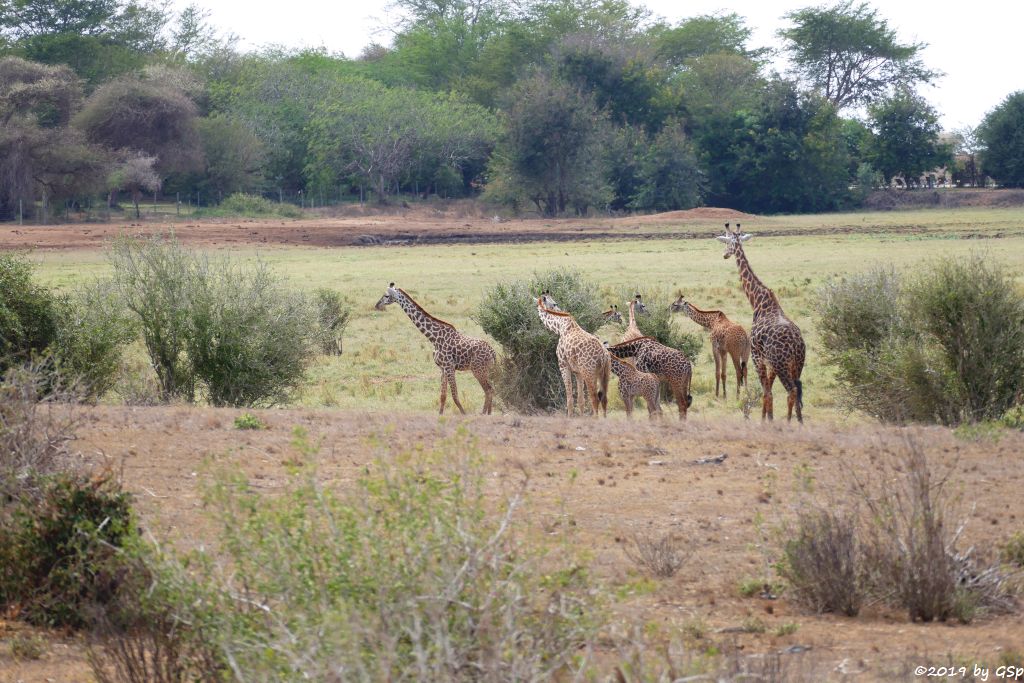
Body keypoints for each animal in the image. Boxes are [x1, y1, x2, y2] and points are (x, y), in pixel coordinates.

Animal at [374, 284, 497, 417]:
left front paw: (464, 414)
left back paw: (484, 414)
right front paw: (440, 415)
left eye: (386, 295)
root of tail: (492, 352)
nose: (377, 305)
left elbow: (454, 395)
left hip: (477, 369)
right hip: (486, 369)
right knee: (491, 389)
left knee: (488, 389)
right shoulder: (442, 368)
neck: (434, 338)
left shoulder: (449, 366)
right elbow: (443, 395)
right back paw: (488, 413)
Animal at [716, 223, 802, 421]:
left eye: (728, 242)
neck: (758, 301)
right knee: (798, 393)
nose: (724, 255)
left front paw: (766, 421)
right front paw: (767, 418)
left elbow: (766, 392)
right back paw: (799, 422)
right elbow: (767, 391)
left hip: (782, 364)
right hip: (797, 365)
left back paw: (788, 423)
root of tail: (796, 343)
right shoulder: (768, 362)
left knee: (791, 391)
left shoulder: (757, 356)